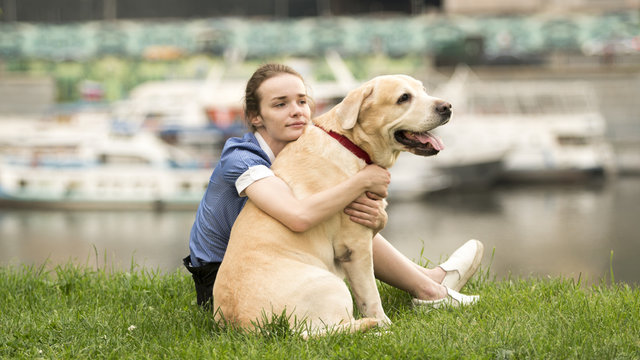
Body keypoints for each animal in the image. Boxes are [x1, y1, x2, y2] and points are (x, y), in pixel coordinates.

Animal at [214, 74, 450, 336]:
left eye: (424, 90)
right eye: (404, 98)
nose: (447, 107)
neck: (350, 143)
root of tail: (252, 328)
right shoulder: (355, 245)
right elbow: (371, 296)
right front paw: (385, 322)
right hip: (331, 285)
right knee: (328, 332)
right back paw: (378, 331)